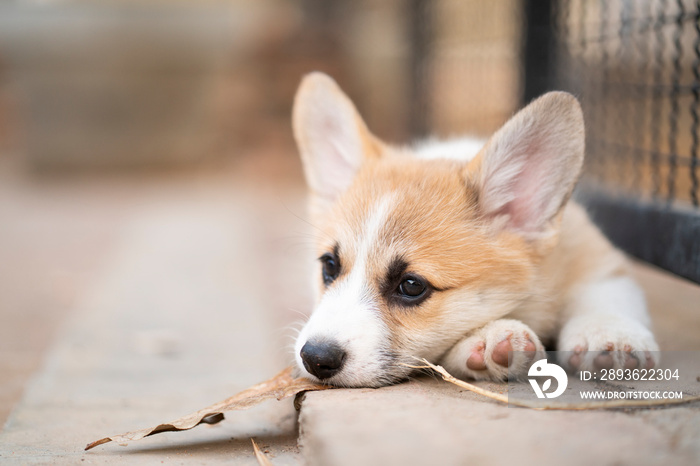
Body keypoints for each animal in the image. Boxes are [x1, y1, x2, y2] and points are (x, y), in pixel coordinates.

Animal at [288, 72, 656, 386]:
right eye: (329, 266)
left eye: (411, 286)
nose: (316, 358)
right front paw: (489, 340)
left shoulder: (598, 260)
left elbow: (605, 294)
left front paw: (610, 335)